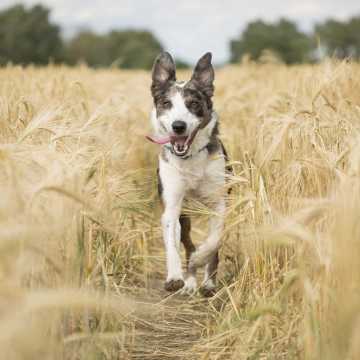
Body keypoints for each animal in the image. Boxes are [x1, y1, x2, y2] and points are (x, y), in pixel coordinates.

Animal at [147, 52, 229, 296]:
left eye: (193, 103)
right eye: (166, 103)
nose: (178, 126)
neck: (190, 158)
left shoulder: (219, 203)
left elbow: (213, 242)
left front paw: (201, 259)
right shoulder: (172, 205)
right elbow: (172, 242)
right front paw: (175, 277)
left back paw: (207, 282)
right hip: (186, 215)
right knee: (186, 241)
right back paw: (190, 282)